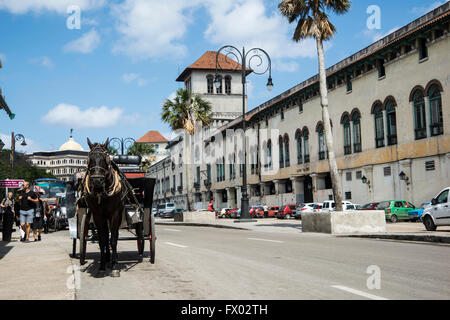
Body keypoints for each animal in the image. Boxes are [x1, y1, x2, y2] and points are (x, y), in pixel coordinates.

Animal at [83, 139, 123, 276]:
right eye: (89, 159)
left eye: (105, 159)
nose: (96, 181)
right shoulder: (98, 215)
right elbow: (102, 240)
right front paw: (101, 265)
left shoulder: (115, 214)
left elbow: (113, 239)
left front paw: (115, 265)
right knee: (105, 236)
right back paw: (106, 258)